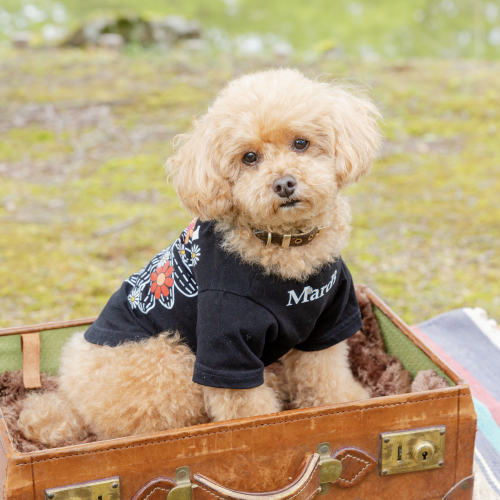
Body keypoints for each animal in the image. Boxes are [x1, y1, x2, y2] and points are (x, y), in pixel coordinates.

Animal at [18, 68, 381, 448]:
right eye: (249, 157)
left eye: (301, 143)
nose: (284, 184)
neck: (285, 244)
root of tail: (72, 400)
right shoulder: (226, 341)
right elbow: (249, 412)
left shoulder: (328, 320)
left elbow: (327, 377)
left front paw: (349, 404)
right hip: (168, 364)